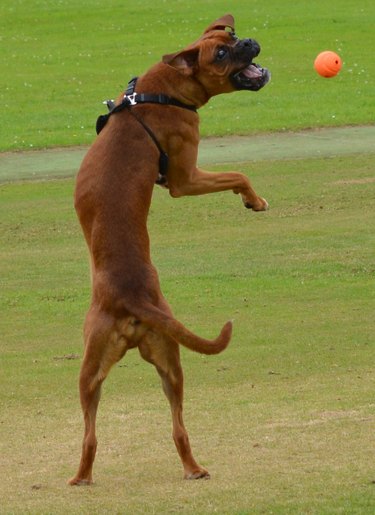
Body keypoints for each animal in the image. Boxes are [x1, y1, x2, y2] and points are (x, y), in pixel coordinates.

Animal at [70, 13, 270, 488]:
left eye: (232, 36)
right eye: (221, 52)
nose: (250, 41)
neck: (165, 89)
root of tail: (133, 300)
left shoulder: (186, 179)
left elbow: (238, 174)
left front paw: (253, 200)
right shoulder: (185, 179)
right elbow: (238, 172)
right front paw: (254, 200)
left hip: (119, 368)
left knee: (99, 434)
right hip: (148, 365)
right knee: (155, 429)